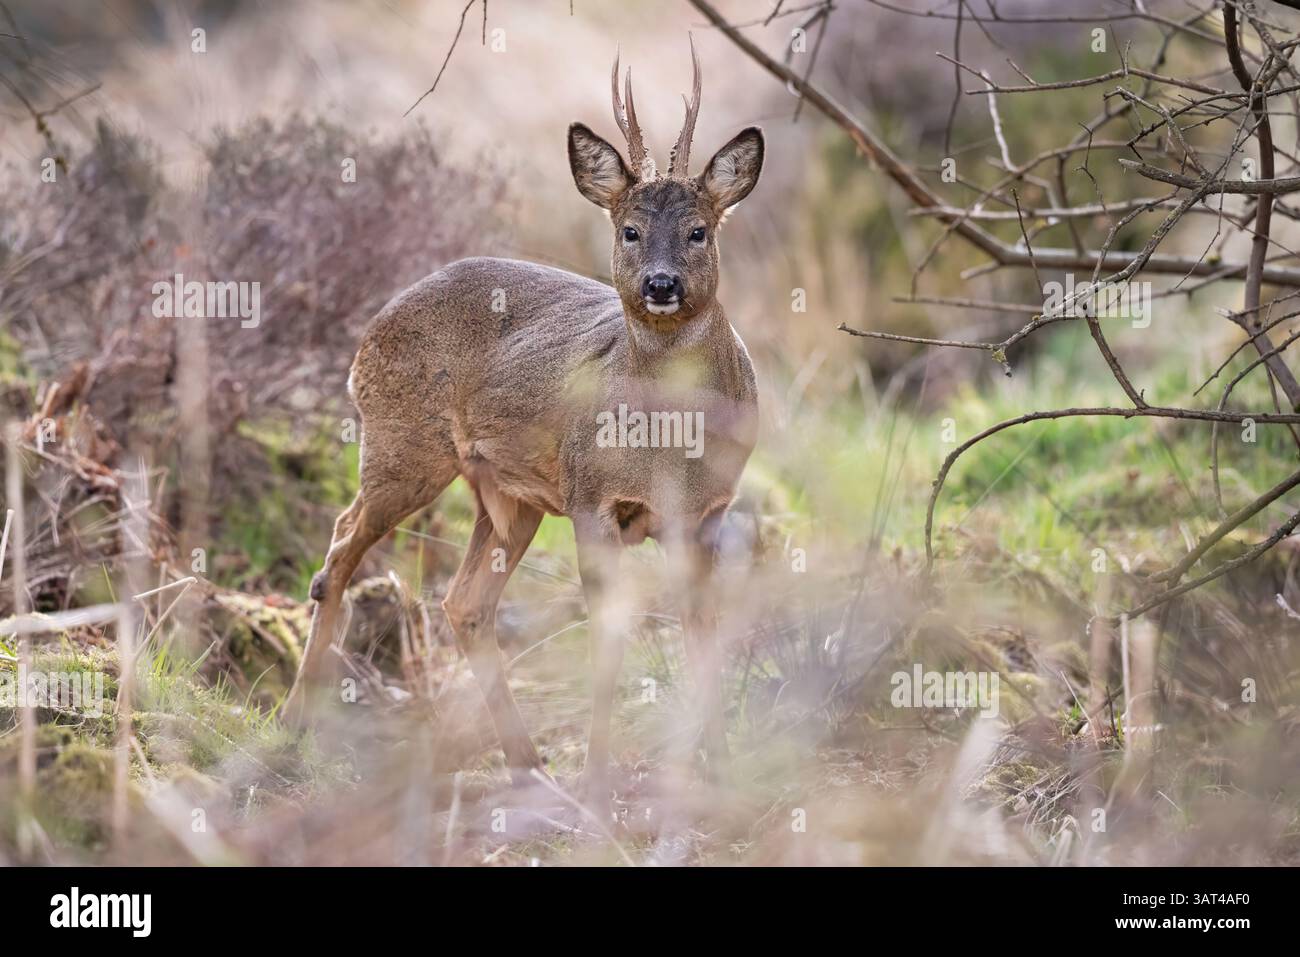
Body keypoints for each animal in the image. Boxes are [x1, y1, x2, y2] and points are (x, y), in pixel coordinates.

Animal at [283, 40, 763, 813]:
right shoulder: (593, 498)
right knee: (339, 547)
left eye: (699, 230)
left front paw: (718, 768)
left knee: (463, 602)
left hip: (506, 496)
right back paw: (292, 727)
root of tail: (369, 331)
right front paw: (598, 776)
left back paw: (528, 764)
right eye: (628, 230)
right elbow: (609, 638)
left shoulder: (706, 513)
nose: (661, 285)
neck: (670, 445)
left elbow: (702, 632)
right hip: (402, 446)